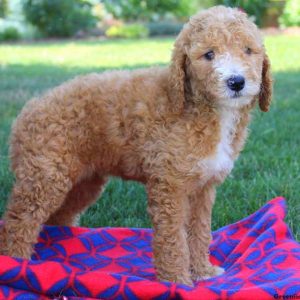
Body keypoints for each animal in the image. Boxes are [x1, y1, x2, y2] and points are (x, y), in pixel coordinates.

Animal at [0, 5, 272, 284]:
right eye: (209, 54)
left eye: (248, 50)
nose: (236, 82)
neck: (197, 106)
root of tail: (26, 111)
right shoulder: (169, 186)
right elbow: (173, 237)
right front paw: (177, 281)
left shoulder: (203, 187)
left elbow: (199, 231)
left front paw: (202, 272)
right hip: (45, 178)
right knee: (18, 222)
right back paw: (17, 264)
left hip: (82, 182)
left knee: (58, 217)